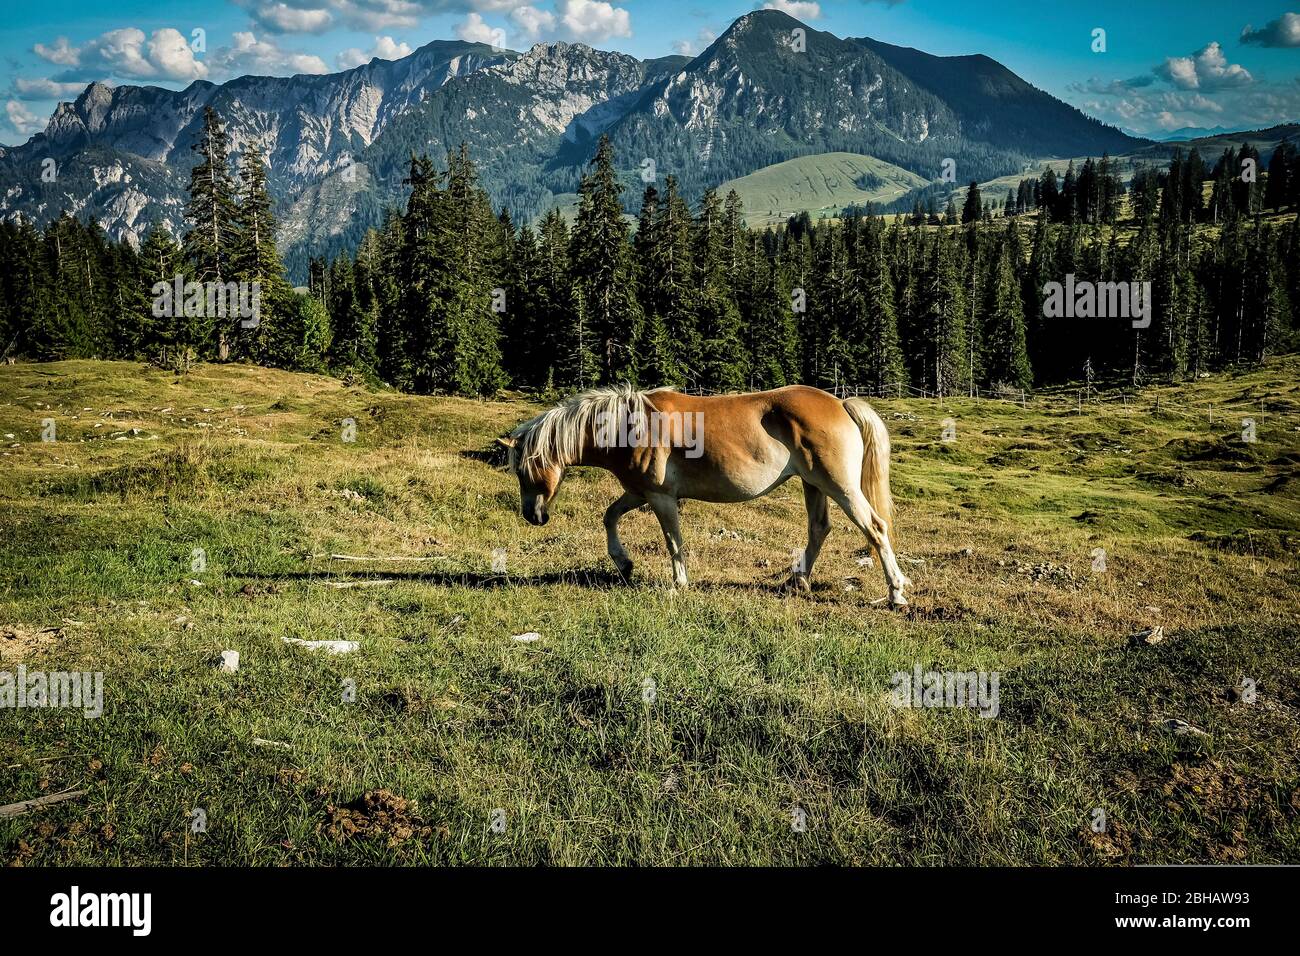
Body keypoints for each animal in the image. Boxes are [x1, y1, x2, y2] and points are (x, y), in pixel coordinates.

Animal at [496, 382, 915, 606]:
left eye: (526, 468)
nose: (533, 515)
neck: (630, 426)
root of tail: (840, 403)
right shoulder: (638, 492)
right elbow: (610, 516)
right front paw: (624, 563)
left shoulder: (661, 497)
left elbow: (673, 541)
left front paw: (679, 583)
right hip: (813, 484)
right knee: (819, 529)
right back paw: (797, 582)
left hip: (839, 486)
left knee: (875, 528)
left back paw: (895, 593)